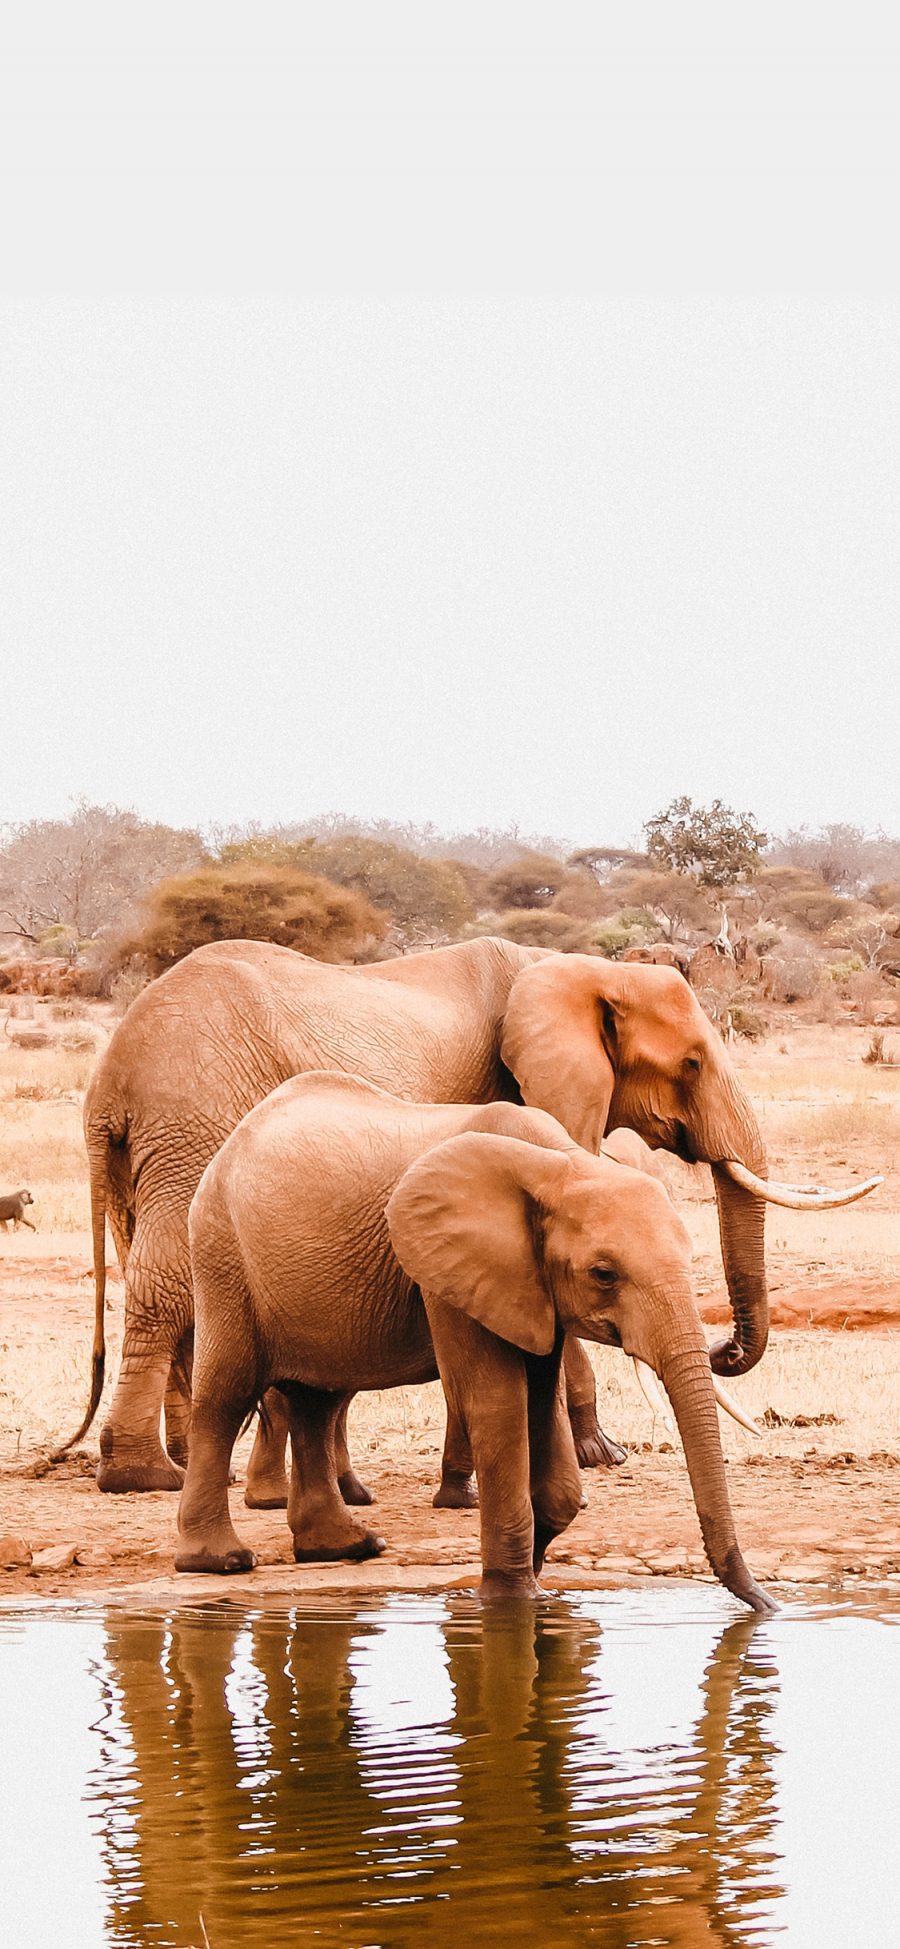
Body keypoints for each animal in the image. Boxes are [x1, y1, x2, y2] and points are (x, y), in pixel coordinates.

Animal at [68, 927, 872, 1489]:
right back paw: (144, 1475)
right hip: (192, 1119)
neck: (572, 967)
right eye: (692, 1064)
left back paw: (197, 1463)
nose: (724, 1349)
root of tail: (109, 1080)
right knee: (167, 1283)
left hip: (155, 1148)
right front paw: (600, 1453)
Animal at [174, 1068, 775, 1613]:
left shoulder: (530, 1285)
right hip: (222, 1251)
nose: (766, 1605)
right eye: (604, 1275)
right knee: (227, 1396)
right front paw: (510, 1600)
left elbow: (543, 1405)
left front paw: (535, 1576)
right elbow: (498, 1403)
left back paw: (344, 1549)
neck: (561, 1165)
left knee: (316, 1401)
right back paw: (218, 1561)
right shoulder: (446, 1269)